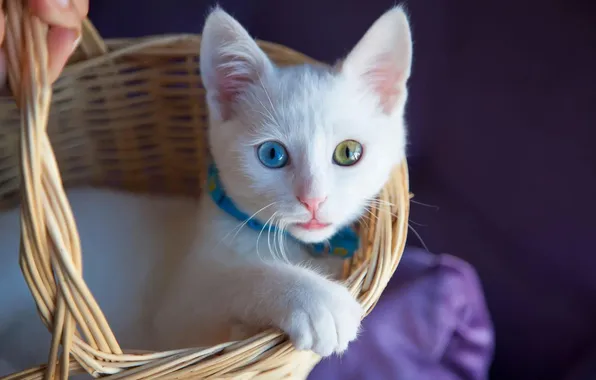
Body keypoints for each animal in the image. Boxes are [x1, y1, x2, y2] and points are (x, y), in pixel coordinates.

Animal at [0, 5, 412, 378]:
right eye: (272, 154)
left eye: (348, 153)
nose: (313, 199)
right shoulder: (173, 320)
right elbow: (234, 282)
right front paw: (314, 298)